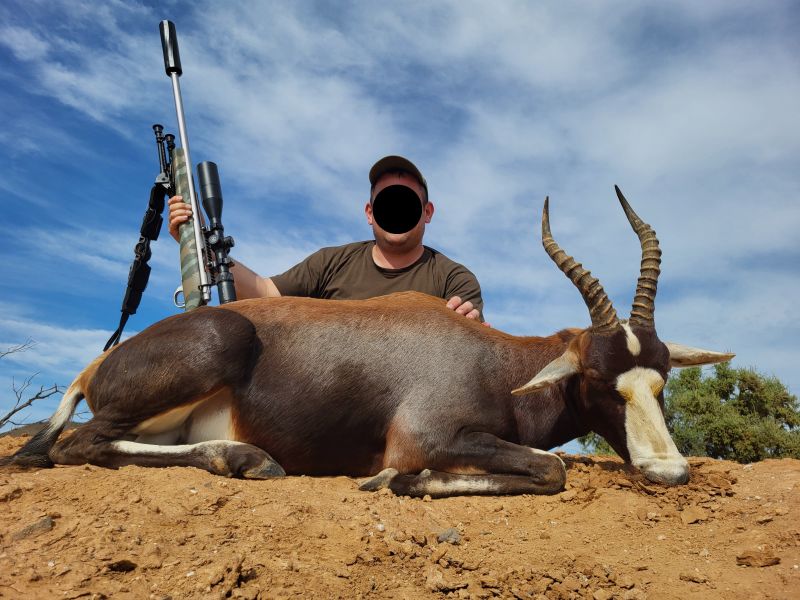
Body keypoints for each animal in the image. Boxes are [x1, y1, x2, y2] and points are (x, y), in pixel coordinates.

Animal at [3, 189, 736, 496]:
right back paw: (250, 459)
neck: (490, 359)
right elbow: (549, 470)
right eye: (600, 380)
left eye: (661, 380)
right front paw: (397, 480)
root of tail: (96, 366)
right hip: (209, 350)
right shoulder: (426, 436)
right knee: (76, 446)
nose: (669, 471)